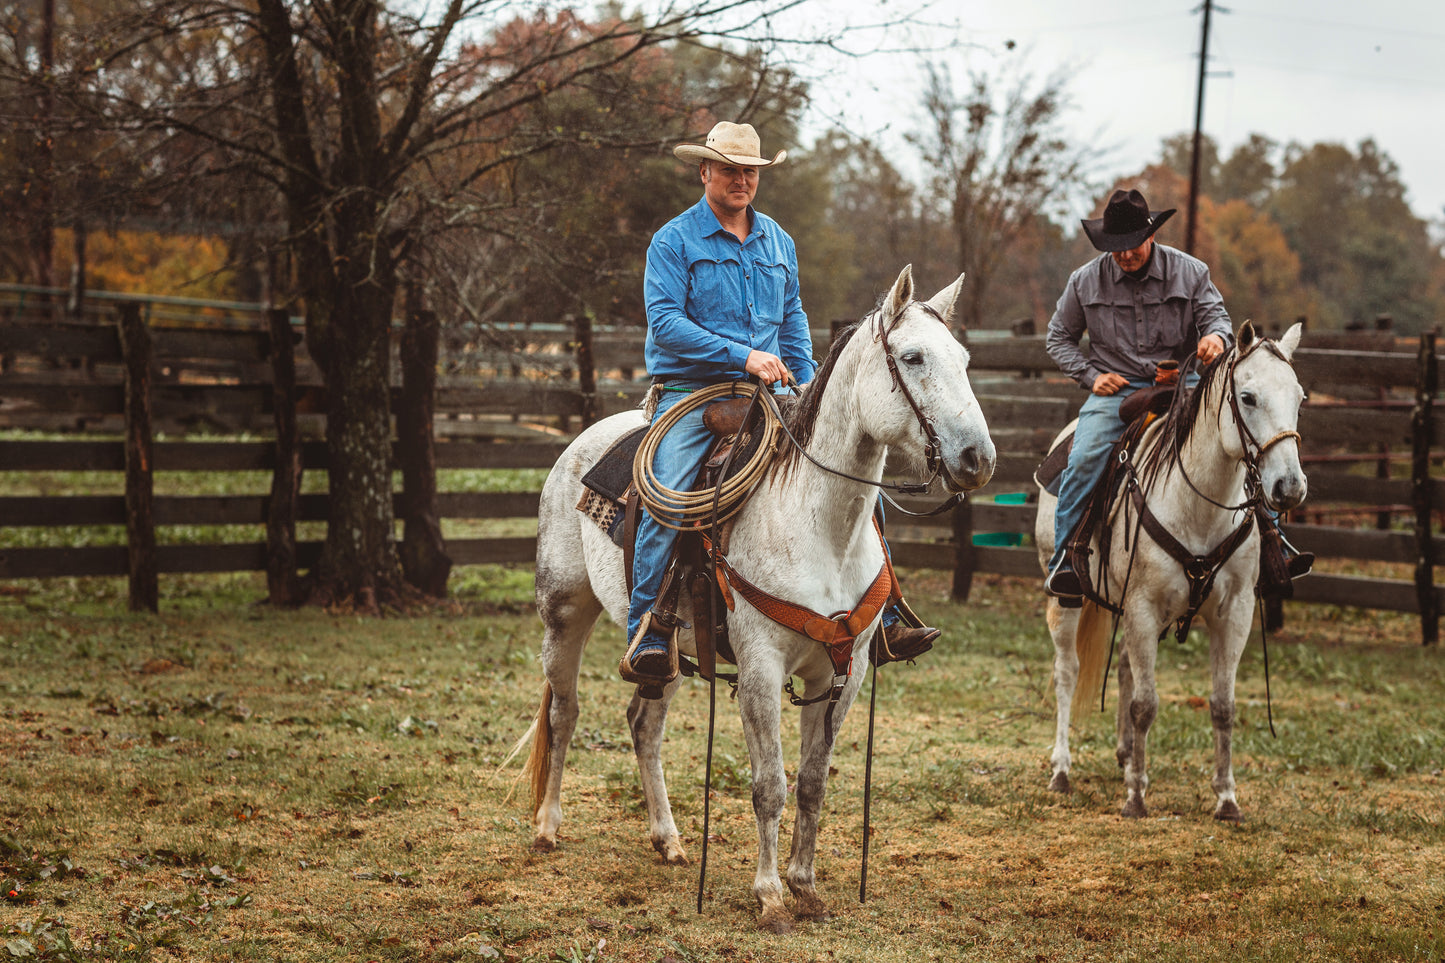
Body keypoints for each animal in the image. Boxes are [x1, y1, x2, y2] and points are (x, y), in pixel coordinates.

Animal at [508, 264, 994, 931]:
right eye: (913, 357)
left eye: (965, 359)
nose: (978, 457)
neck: (818, 526)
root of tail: (580, 443)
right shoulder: (762, 667)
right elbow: (770, 785)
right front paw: (768, 896)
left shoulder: (844, 670)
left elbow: (812, 782)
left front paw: (806, 886)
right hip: (563, 616)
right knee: (564, 713)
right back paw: (547, 827)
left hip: (671, 652)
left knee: (644, 724)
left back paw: (668, 839)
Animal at [1034, 318, 1306, 815]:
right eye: (1248, 397)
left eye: (1299, 397)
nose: (1289, 487)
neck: (1200, 504)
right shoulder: (1143, 608)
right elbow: (1145, 704)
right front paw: (1136, 798)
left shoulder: (1234, 612)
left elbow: (1223, 705)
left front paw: (1227, 798)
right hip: (1066, 599)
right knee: (1067, 671)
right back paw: (1061, 769)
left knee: (1124, 664)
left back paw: (1125, 755)